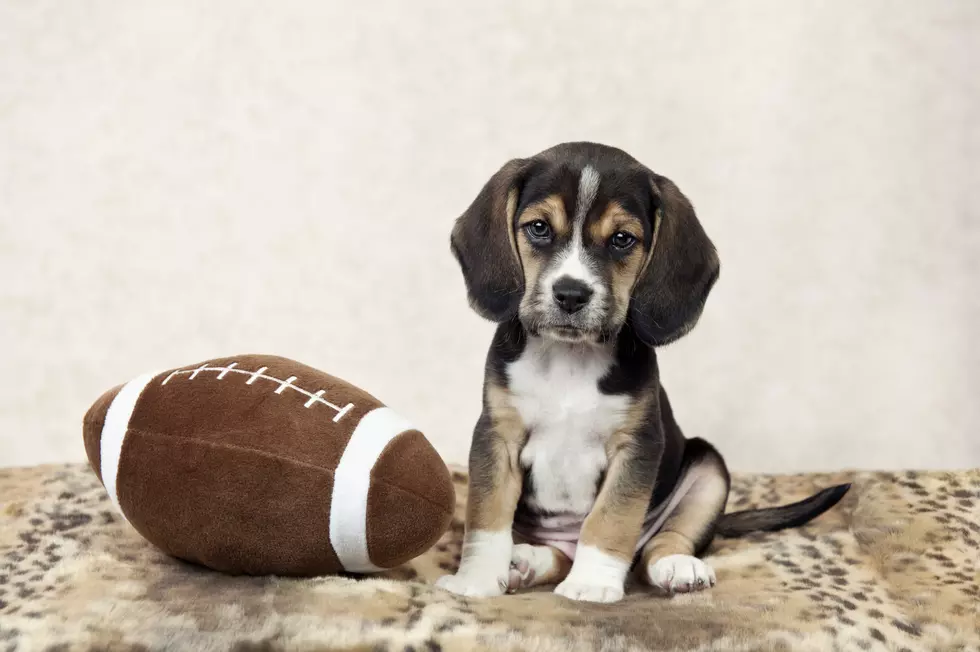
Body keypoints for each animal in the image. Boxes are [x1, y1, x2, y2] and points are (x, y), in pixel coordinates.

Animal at [436, 145, 848, 604]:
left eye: (622, 239)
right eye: (539, 228)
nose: (571, 294)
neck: (570, 357)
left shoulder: (636, 446)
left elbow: (611, 519)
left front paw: (592, 583)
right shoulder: (497, 436)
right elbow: (487, 518)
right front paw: (476, 580)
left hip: (709, 468)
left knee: (657, 546)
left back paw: (677, 567)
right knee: (556, 552)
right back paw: (526, 561)